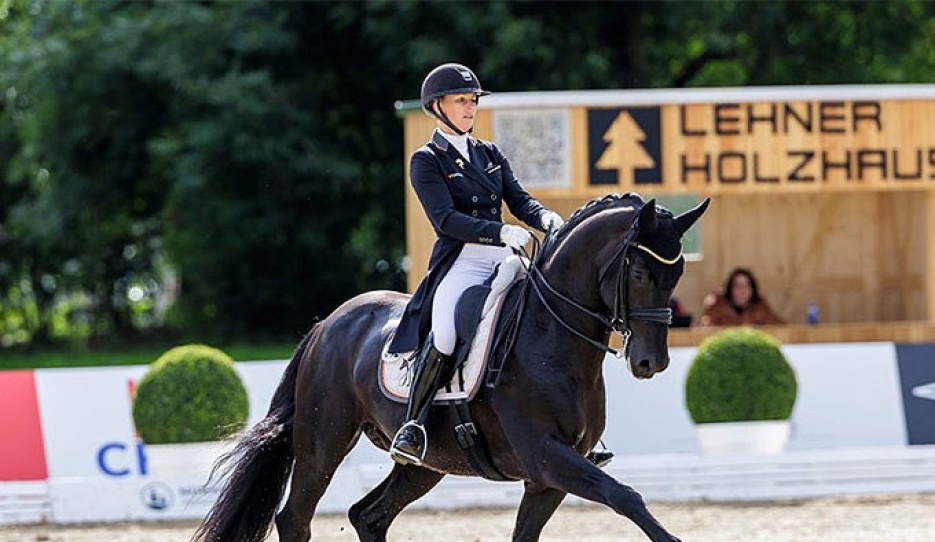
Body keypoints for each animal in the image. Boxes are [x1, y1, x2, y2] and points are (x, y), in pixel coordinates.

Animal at [196, 194, 708, 542]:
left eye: (679, 273)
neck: (550, 337)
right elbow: (625, 495)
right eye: (639, 274)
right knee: (296, 518)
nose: (651, 362)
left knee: (368, 514)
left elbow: (528, 534)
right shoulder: (546, 456)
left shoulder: (546, 478)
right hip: (324, 443)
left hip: (428, 463)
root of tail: (329, 323)